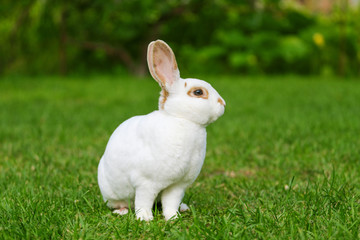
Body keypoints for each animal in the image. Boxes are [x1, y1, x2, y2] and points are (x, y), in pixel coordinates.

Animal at [97, 39, 225, 221]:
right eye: (198, 92)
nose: (223, 104)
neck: (181, 119)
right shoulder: (145, 183)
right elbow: (143, 202)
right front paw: (145, 218)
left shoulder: (177, 186)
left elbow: (170, 202)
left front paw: (172, 217)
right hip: (113, 192)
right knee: (121, 203)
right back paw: (121, 211)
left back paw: (183, 207)